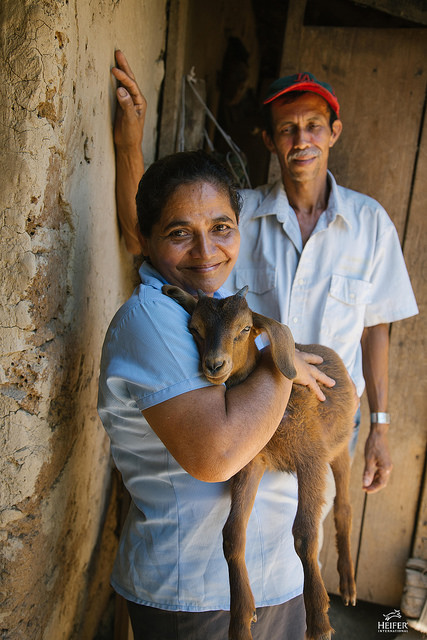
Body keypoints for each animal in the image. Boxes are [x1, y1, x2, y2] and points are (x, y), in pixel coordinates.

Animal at [162, 284, 356, 640]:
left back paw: (348, 585)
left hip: (340, 447)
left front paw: (318, 621)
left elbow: (305, 532)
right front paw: (241, 619)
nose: (215, 364)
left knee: (345, 508)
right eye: (194, 328)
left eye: (245, 329)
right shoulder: (251, 464)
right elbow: (233, 534)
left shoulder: (312, 457)